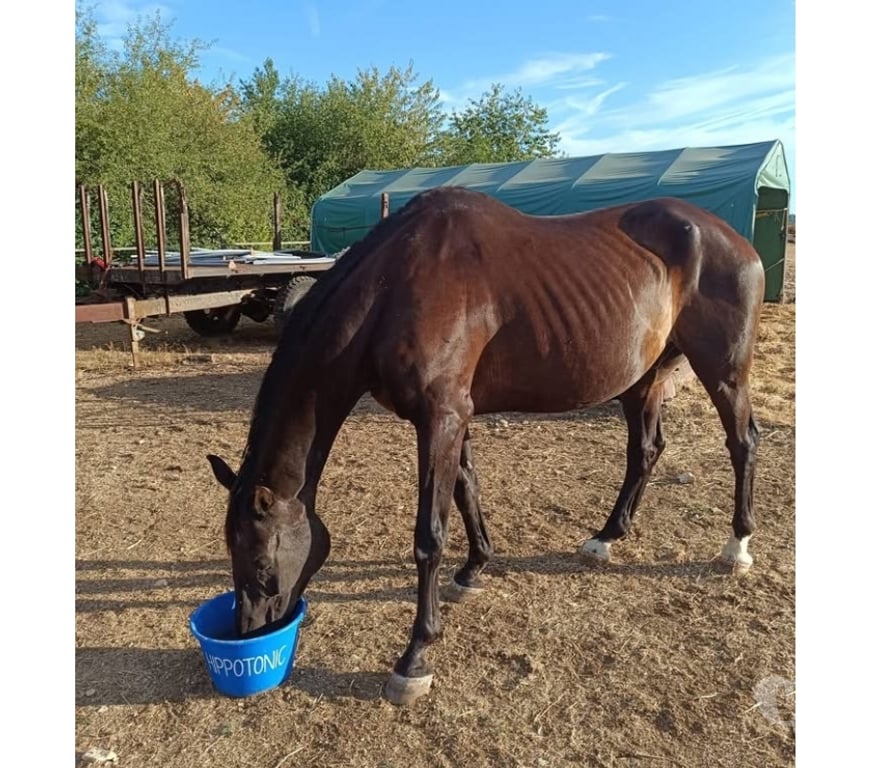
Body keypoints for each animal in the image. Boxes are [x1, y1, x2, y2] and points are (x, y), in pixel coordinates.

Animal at [206, 186, 764, 705]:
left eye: (261, 564)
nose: (251, 630)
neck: (393, 287)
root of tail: (733, 239)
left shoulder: (441, 417)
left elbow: (430, 535)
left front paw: (415, 657)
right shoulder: (457, 417)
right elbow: (466, 489)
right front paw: (474, 569)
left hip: (724, 372)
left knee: (742, 443)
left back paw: (737, 546)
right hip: (644, 378)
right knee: (645, 451)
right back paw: (607, 537)